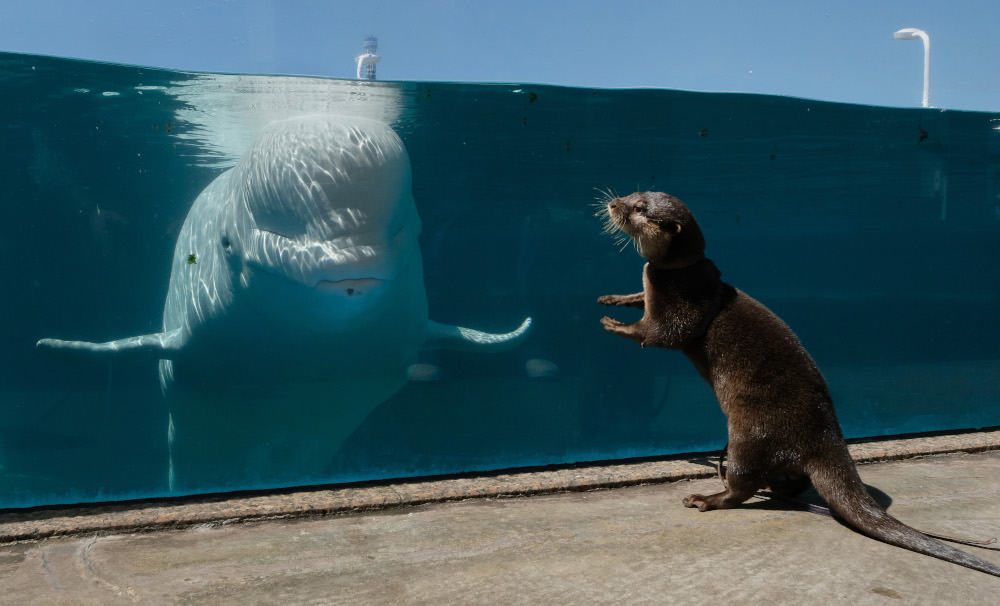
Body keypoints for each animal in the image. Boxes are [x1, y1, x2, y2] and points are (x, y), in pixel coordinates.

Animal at [596, 191, 996, 580]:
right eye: (634, 192)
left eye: (638, 208)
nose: (613, 203)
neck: (680, 272)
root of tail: (826, 435)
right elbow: (639, 298)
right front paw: (614, 298)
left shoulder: (680, 303)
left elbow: (661, 334)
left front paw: (616, 325)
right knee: (795, 480)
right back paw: (775, 487)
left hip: (750, 432)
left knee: (742, 486)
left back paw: (707, 499)